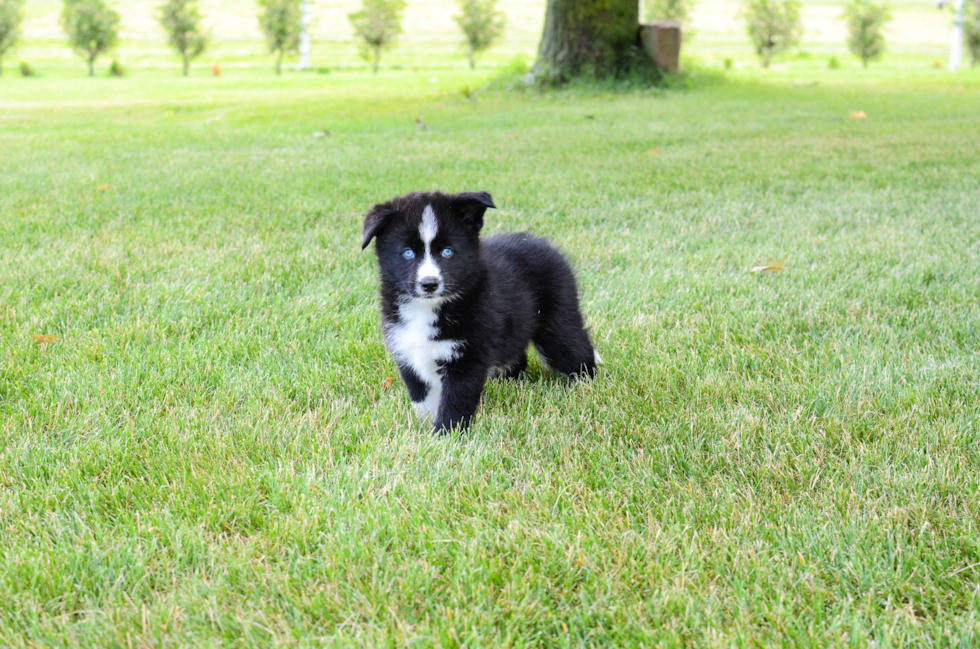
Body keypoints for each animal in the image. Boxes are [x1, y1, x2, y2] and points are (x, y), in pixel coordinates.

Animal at [364, 192, 600, 436]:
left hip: (556, 321)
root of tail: (545, 245)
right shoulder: (406, 348)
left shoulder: (468, 355)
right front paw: (424, 428)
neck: (427, 308)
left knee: (573, 349)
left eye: (447, 251)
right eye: (407, 253)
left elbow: (456, 400)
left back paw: (585, 386)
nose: (429, 284)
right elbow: (422, 397)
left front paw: (445, 435)